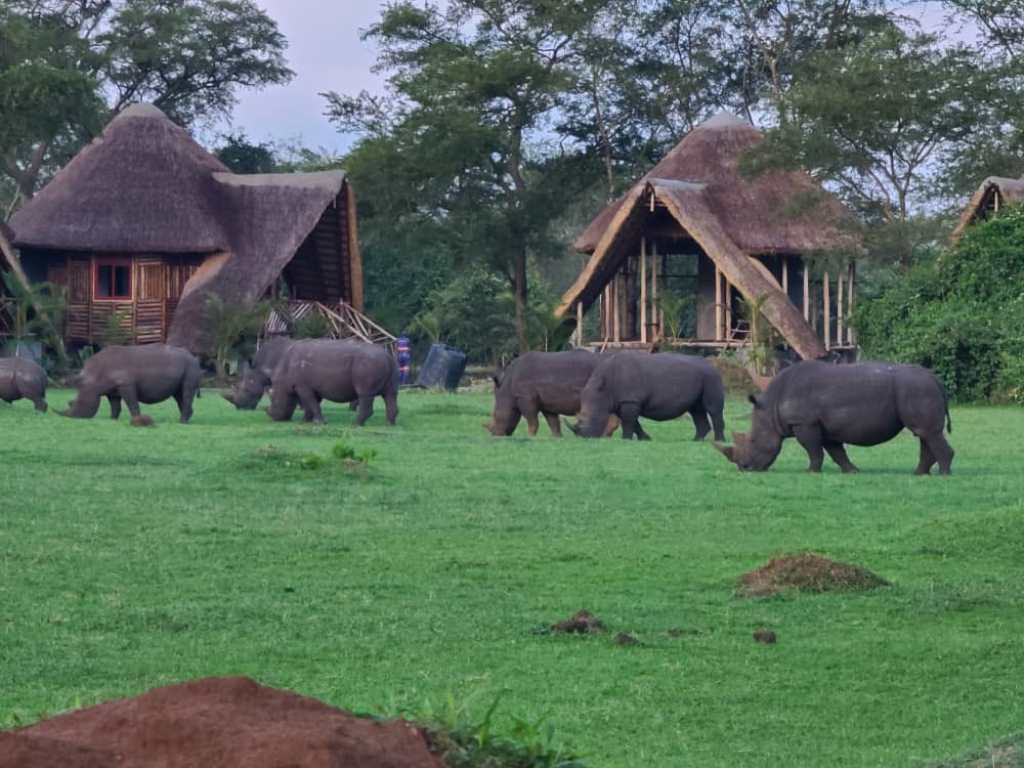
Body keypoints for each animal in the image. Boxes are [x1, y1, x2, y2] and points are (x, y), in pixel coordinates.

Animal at [64, 344, 201, 425]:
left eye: (76, 403)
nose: (70, 418)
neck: (92, 378)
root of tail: (194, 357)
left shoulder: (126, 384)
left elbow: (132, 404)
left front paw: (136, 421)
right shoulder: (112, 390)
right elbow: (115, 406)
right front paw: (112, 420)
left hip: (190, 366)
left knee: (186, 392)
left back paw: (181, 423)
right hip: (186, 367)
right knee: (179, 395)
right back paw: (184, 420)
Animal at [266, 339, 398, 426]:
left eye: (274, 401)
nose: (275, 418)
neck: (282, 376)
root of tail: (387, 355)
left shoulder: (303, 386)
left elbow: (311, 403)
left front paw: (319, 423)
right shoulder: (312, 388)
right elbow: (312, 404)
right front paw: (305, 421)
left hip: (368, 363)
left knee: (364, 394)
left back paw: (355, 424)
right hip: (385, 363)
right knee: (390, 394)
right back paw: (389, 424)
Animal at [486, 350, 618, 437]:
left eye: (495, 416)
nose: (495, 435)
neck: (507, 388)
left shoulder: (526, 397)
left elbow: (532, 420)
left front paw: (530, 437)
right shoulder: (547, 403)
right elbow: (553, 422)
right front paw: (557, 438)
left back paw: (603, 437)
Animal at [569, 351, 726, 441]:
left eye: (592, 417)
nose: (584, 438)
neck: (604, 389)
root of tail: (711, 364)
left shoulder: (630, 400)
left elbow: (628, 422)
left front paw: (625, 439)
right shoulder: (622, 402)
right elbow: (633, 422)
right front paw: (645, 439)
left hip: (711, 376)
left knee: (713, 409)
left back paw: (719, 441)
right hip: (702, 376)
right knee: (696, 410)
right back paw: (696, 440)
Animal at [713, 360, 954, 474]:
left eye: (753, 440)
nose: (744, 468)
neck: (771, 407)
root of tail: (935, 378)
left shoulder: (804, 422)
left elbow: (813, 449)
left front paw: (810, 471)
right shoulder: (824, 426)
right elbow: (836, 451)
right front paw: (852, 471)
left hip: (916, 389)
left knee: (927, 433)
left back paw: (943, 474)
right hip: (918, 389)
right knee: (924, 434)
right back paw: (919, 474)